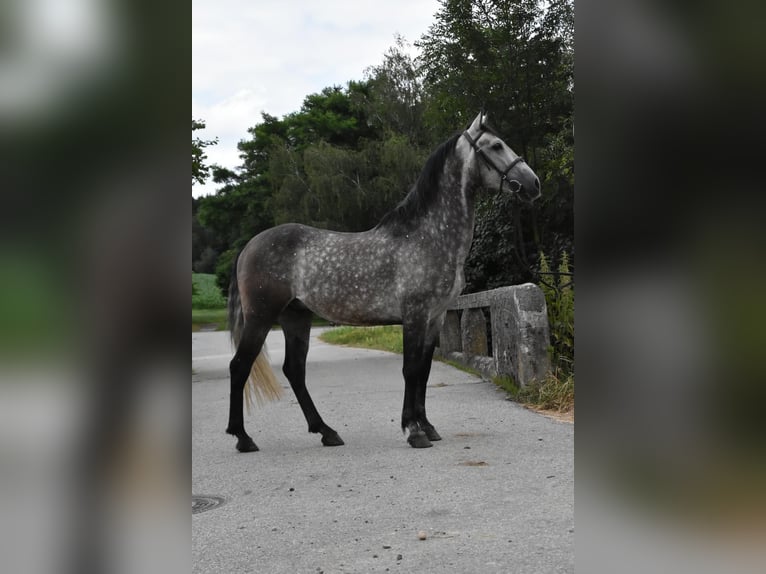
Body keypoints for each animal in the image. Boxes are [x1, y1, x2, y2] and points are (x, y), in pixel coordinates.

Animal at [226, 111, 540, 450]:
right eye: (496, 145)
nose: (533, 184)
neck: (427, 236)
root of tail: (249, 246)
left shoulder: (435, 317)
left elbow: (424, 371)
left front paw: (427, 427)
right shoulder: (415, 315)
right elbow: (410, 369)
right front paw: (413, 431)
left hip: (296, 317)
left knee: (294, 371)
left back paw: (326, 432)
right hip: (261, 317)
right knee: (240, 366)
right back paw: (243, 437)